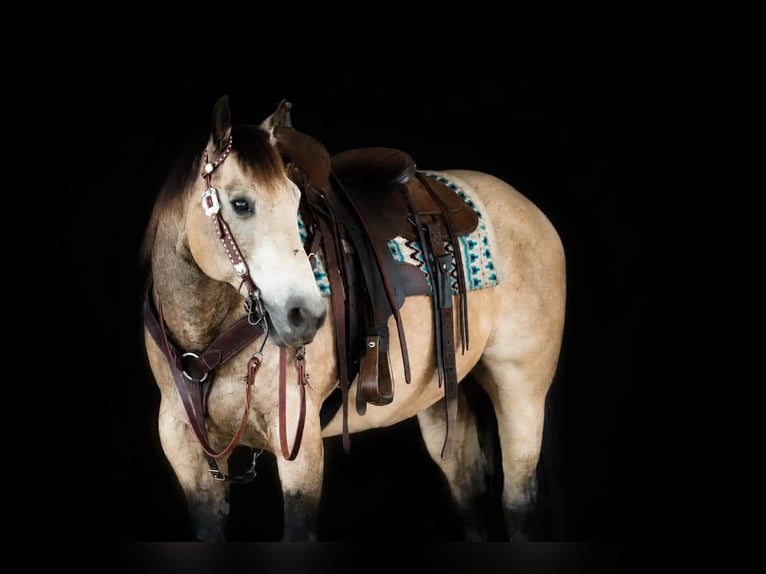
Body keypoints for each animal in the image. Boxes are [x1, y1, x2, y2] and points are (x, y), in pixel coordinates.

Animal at [140, 95, 566, 542]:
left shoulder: (301, 446)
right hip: (444, 399)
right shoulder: (185, 448)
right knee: (471, 496)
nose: (305, 316)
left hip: (521, 390)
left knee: (518, 503)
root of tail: (531, 211)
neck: (205, 339)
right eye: (240, 204)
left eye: (294, 203)